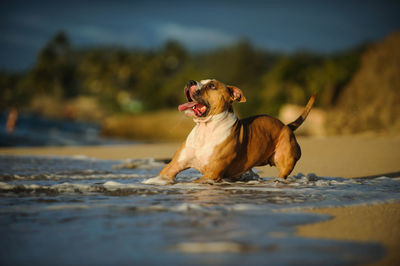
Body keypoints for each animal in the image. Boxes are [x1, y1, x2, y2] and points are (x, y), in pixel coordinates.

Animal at [144, 79, 316, 185]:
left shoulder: (211, 174)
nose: (190, 82)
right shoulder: (173, 166)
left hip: (285, 161)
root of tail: (286, 126)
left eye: (212, 86)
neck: (205, 129)